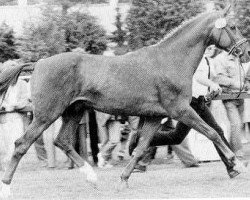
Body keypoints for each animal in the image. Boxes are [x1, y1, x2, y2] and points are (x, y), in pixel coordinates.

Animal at [0, 5, 250, 197]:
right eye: (233, 26)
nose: (245, 53)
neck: (170, 61)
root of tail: (39, 63)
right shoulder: (180, 110)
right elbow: (213, 132)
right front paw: (238, 164)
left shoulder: (155, 116)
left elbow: (140, 148)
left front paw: (122, 180)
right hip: (47, 114)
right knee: (22, 144)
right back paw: (7, 188)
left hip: (73, 111)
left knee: (62, 141)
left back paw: (92, 178)